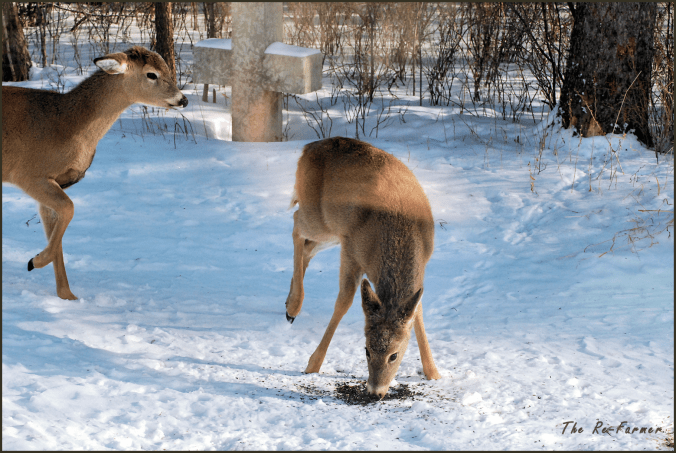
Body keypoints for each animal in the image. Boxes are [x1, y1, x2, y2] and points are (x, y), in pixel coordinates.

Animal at [2, 46, 188, 300]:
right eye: (152, 74)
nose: (183, 99)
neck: (67, 125)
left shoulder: (55, 183)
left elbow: (57, 236)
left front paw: (67, 295)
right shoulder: (28, 173)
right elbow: (69, 209)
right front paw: (34, 261)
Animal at [285, 137, 441, 399]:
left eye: (394, 355)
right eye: (366, 350)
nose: (375, 392)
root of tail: (308, 147)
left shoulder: (422, 267)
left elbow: (417, 312)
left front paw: (434, 372)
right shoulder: (351, 250)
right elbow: (344, 301)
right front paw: (313, 364)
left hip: (332, 232)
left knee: (306, 246)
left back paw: (288, 303)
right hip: (320, 218)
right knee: (296, 224)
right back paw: (294, 306)